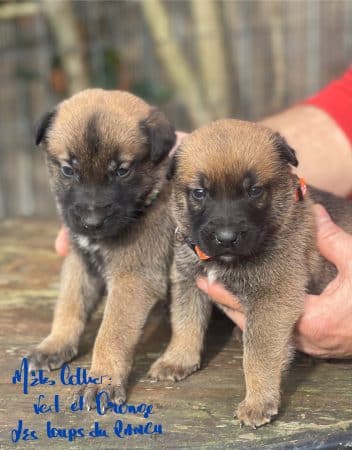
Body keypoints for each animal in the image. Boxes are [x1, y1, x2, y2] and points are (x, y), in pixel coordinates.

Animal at [28, 88, 176, 408]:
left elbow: (111, 333)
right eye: (68, 169)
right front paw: (56, 343)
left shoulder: (132, 279)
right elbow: (69, 304)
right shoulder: (79, 262)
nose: (92, 223)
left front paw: (101, 381)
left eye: (122, 171)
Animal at [150, 119, 352, 428]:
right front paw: (177, 358)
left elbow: (257, 354)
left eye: (254, 191)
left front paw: (258, 401)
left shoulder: (271, 298)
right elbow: (185, 322)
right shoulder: (188, 280)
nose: (226, 238)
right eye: (199, 193)